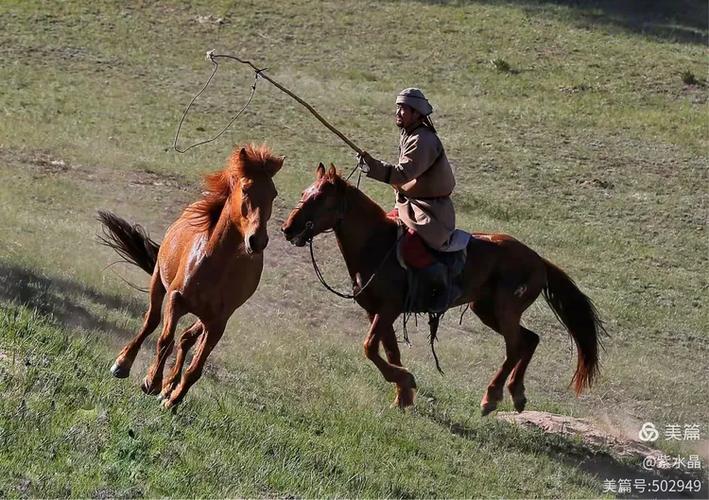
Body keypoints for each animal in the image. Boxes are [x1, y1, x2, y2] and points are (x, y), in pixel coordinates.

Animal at [98, 144, 284, 409]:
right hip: (158, 281)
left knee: (186, 339)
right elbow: (165, 340)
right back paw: (123, 365)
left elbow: (195, 367)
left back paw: (168, 389)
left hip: (206, 318)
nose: (257, 241)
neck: (215, 267)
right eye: (246, 188)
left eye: (273, 194)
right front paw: (151, 382)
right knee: (151, 322)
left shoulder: (217, 324)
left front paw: (172, 399)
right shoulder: (176, 300)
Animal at [281, 163, 605, 414]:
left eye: (318, 199)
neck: (377, 244)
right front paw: (404, 395)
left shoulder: (388, 309)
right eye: (303, 195)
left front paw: (405, 383)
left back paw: (491, 398)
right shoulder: (377, 312)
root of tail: (539, 260)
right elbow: (390, 351)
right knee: (530, 340)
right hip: (486, 310)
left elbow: (370, 348)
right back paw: (516, 393)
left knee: (515, 347)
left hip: (505, 310)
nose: (287, 229)